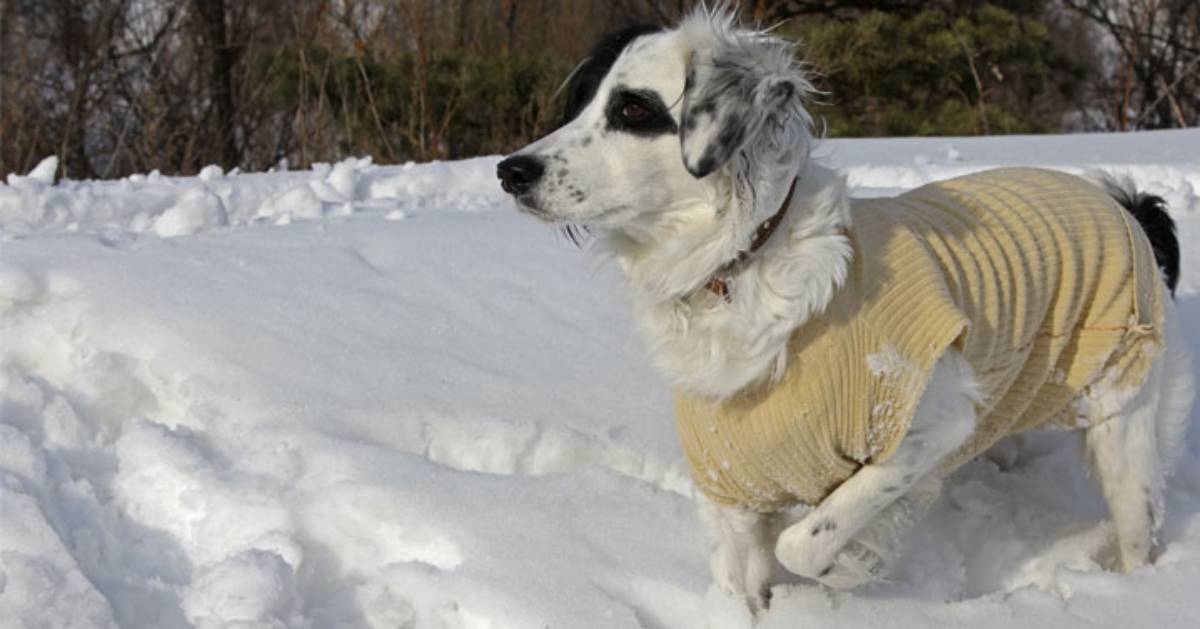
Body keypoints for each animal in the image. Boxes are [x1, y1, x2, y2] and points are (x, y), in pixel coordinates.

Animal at [494, 6, 1190, 614]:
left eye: (633, 109)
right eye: (582, 103)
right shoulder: (730, 490)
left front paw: (862, 559)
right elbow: (744, 583)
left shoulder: (932, 422)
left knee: (1140, 531)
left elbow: (804, 542)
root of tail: (1125, 204)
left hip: (1120, 422)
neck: (738, 267)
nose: (510, 170)